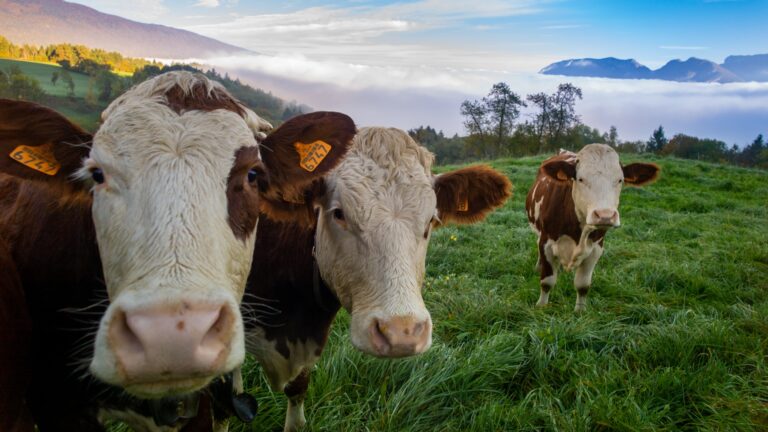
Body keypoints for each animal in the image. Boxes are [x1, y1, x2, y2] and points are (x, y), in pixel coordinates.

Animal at [525, 144, 660, 312]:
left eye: (620, 180)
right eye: (580, 179)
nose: (605, 216)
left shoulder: (596, 249)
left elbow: (582, 285)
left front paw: (580, 311)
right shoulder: (546, 243)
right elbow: (547, 281)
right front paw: (541, 307)